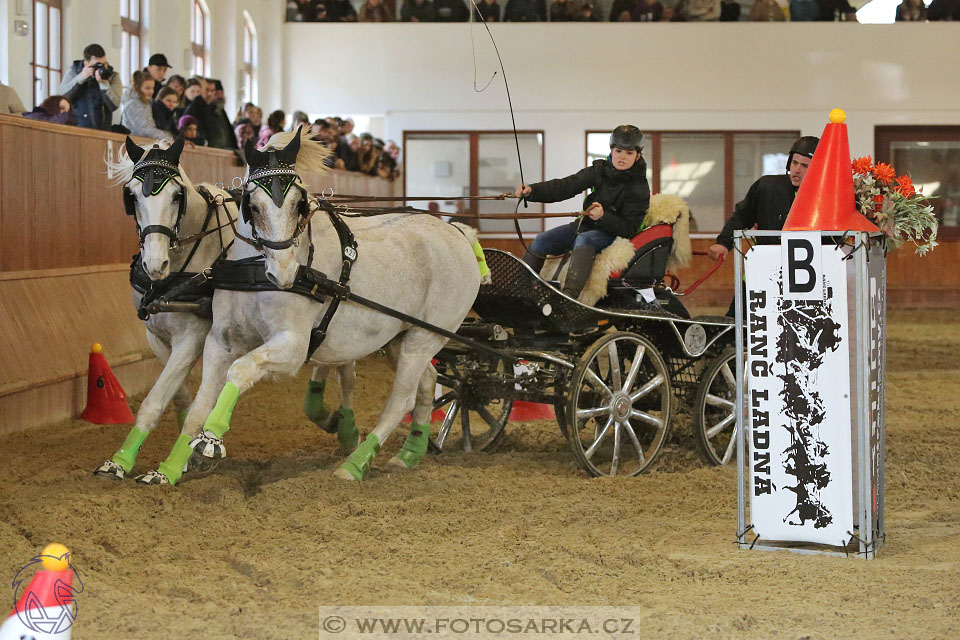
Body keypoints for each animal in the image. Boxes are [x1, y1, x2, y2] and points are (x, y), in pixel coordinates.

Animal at [94, 139, 238, 480]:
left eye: (176, 195)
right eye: (131, 195)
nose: (155, 264)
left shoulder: (192, 338)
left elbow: (154, 401)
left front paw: (144, 465)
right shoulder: (156, 337)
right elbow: (180, 395)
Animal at [135, 127, 480, 482]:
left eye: (298, 203)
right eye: (252, 205)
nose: (285, 272)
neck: (252, 271)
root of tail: (456, 232)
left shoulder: (292, 347)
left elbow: (241, 370)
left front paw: (211, 440)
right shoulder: (220, 341)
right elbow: (198, 407)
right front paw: (168, 470)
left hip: (426, 337)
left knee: (401, 399)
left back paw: (354, 464)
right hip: (401, 336)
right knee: (426, 382)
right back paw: (410, 453)